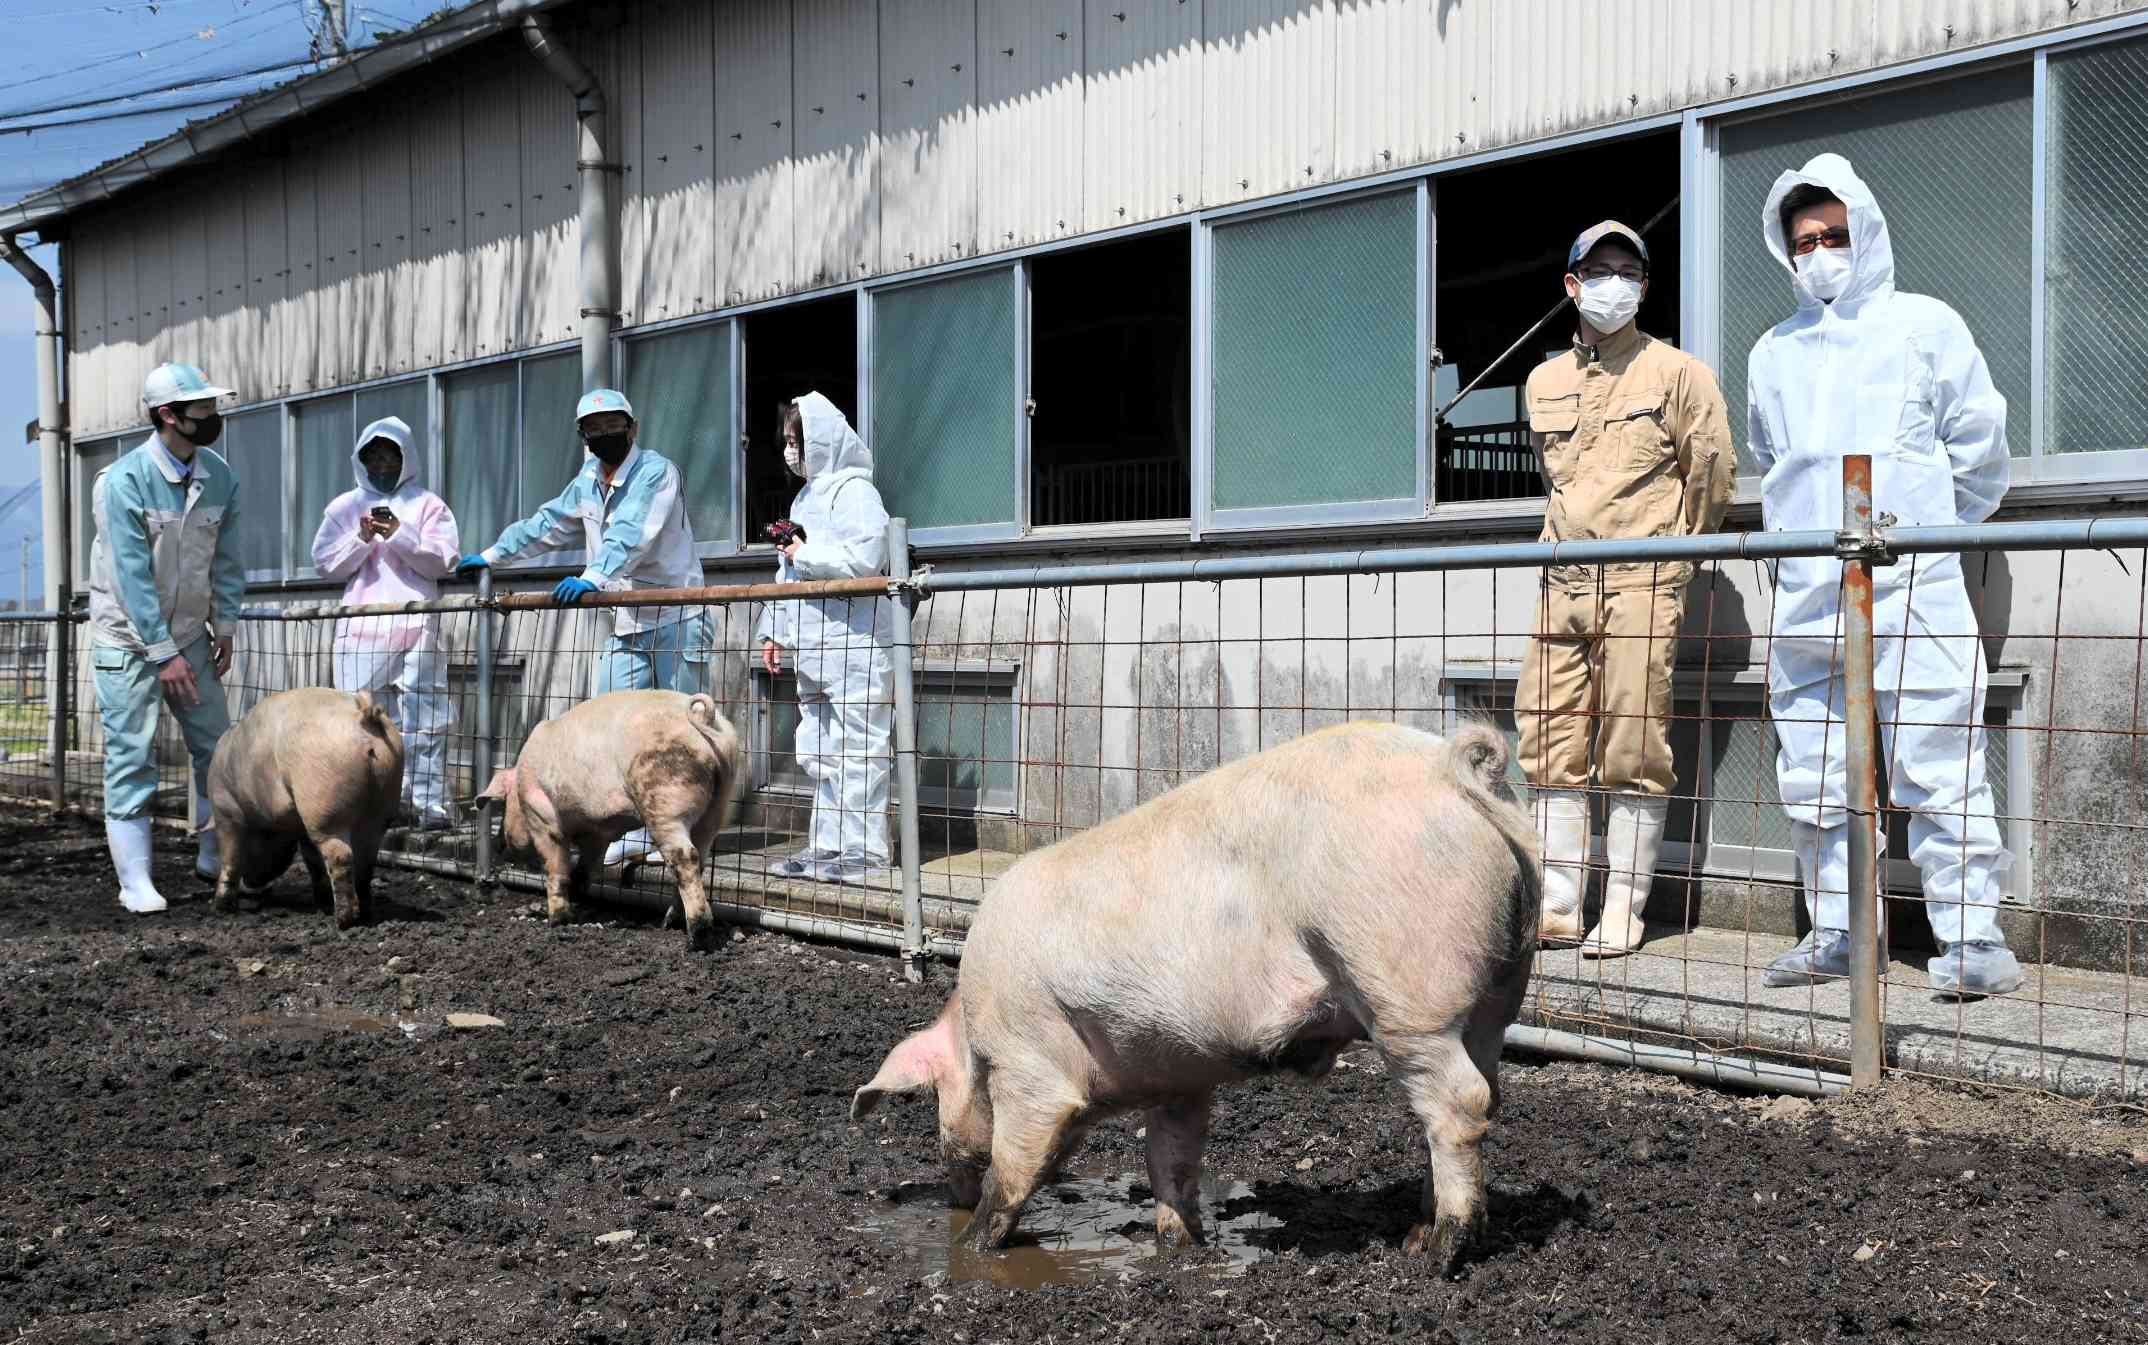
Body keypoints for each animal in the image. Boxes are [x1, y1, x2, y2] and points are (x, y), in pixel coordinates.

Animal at [210, 687, 410, 928]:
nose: (251, 883)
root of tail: (364, 715)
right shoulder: (303, 827)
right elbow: (313, 861)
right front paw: (322, 904)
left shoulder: (226, 808)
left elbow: (230, 859)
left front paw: (219, 909)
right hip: (380, 806)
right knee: (366, 861)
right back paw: (364, 914)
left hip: (325, 806)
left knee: (341, 855)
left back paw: (342, 921)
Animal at [479, 691, 747, 953]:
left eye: (504, 805)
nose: (498, 844)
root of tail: (704, 719)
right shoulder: (596, 833)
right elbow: (585, 869)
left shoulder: (542, 816)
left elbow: (556, 867)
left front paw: (556, 920)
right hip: (718, 805)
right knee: (699, 859)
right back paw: (669, 923)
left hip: (663, 796)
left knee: (684, 857)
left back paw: (696, 939)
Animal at [846, 717, 1537, 1271]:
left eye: (937, 1098)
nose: (952, 1202)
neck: (976, 1037)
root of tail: (1449, 768)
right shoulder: (1176, 1076)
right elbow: (1171, 1162)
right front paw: (1181, 1249)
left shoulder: (1029, 1060)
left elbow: (1016, 1165)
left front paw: (970, 1251)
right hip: (1500, 991)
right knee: (1482, 1091)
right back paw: (1420, 1234)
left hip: (1405, 987)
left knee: (1459, 1101)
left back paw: (1438, 1254)